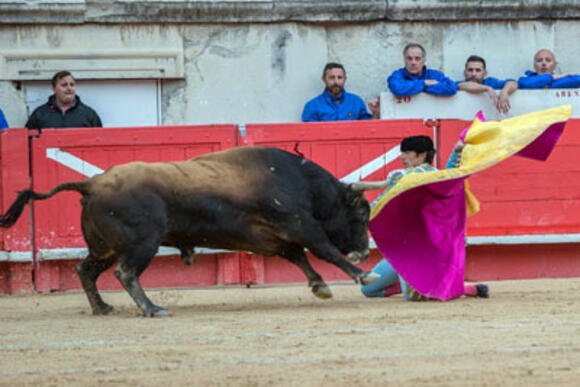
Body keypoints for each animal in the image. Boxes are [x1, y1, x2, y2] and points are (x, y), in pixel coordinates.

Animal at [1, 147, 386, 316]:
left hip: (104, 247)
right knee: (126, 272)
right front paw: (362, 275)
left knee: (85, 270)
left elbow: (298, 257)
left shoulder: (273, 237)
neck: (301, 182)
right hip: (142, 243)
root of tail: (92, 183)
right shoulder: (298, 224)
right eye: (362, 212)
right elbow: (323, 249)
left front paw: (320, 286)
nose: (365, 251)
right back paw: (151, 308)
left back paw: (102, 308)